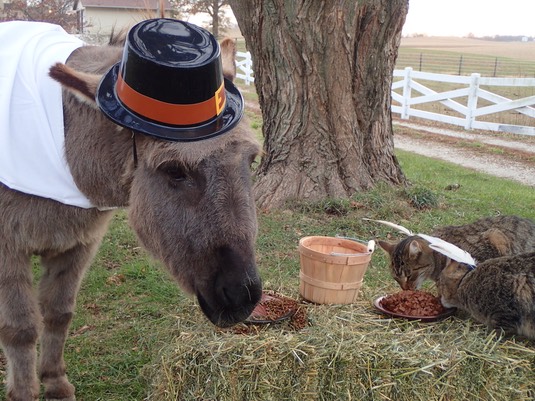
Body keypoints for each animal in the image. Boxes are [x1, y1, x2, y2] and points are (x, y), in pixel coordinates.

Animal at [0, 21, 262, 401]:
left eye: (251, 160)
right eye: (174, 170)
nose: (243, 296)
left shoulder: (78, 244)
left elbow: (58, 313)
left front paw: (55, 383)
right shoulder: (8, 248)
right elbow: (19, 328)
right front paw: (24, 392)